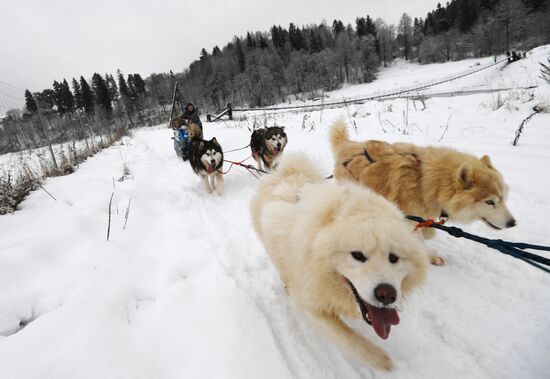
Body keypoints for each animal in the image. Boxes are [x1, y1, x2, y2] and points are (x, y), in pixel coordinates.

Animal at [251, 154, 432, 372]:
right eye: (357, 255)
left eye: (394, 258)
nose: (387, 295)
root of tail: (287, 174)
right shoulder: (310, 304)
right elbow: (347, 338)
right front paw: (379, 359)